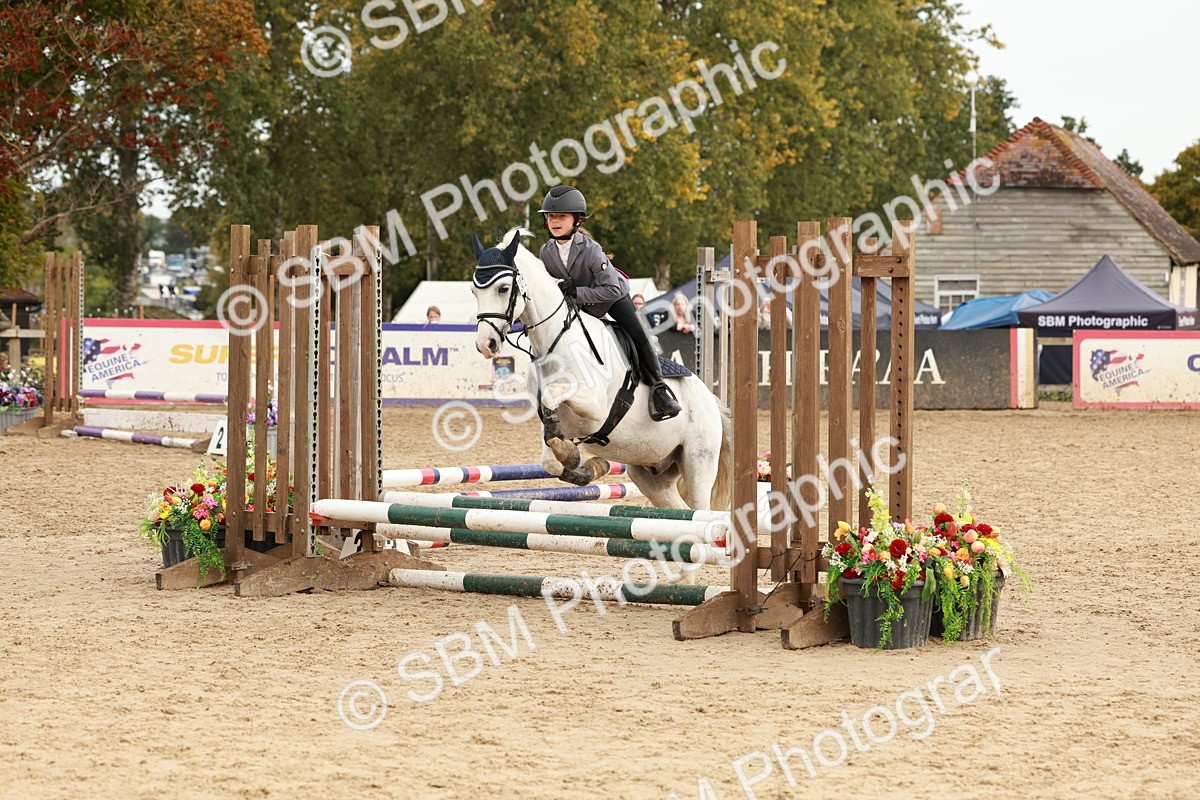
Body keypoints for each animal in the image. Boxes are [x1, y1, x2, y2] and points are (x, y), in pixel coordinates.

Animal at [470, 229, 732, 511]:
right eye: (474, 291)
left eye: (503, 288)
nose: (485, 344)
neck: (555, 341)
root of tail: (711, 400)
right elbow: (550, 459)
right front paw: (585, 464)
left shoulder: (595, 405)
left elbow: (553, 396)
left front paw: (573, 456)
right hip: (651, 473)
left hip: (698, 461)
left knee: (700, 506)